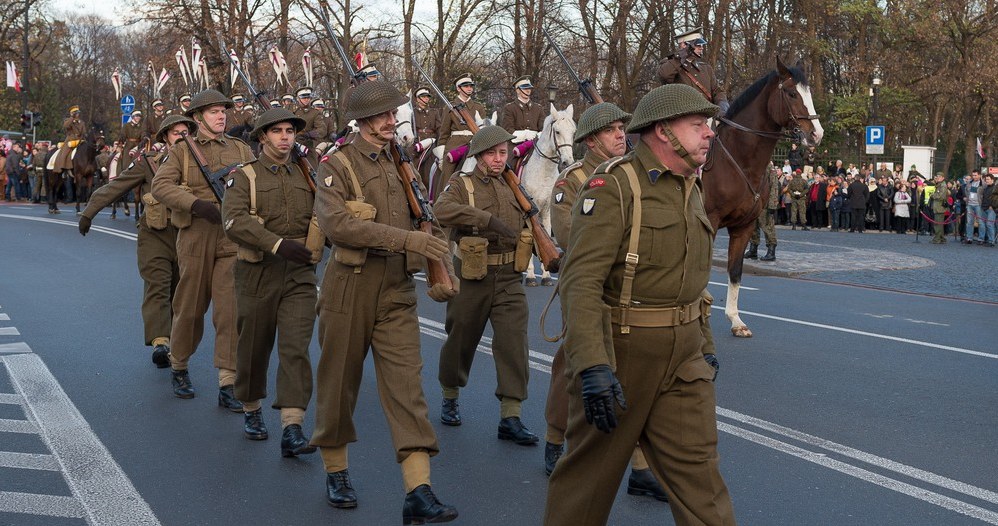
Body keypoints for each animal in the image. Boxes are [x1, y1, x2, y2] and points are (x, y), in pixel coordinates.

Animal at [520, 104, 576, 286]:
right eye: (557, 131)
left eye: (573, 132)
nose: (567, 162)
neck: (543, 171)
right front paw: (531, 275)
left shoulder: (547, 211)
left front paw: (546, 275)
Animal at [700, 57, 824, 338]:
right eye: (791, 93)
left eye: (809, 93)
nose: (817, 134)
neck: (738, 159)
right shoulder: (709, 221)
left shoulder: (744, 226)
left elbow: (735, 271)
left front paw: (736, 320)